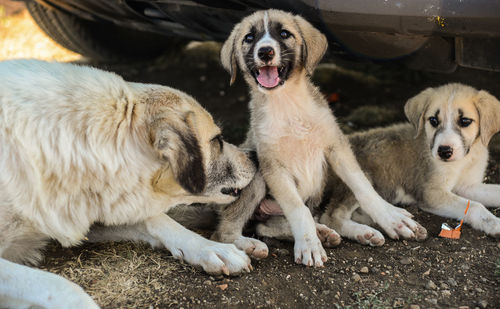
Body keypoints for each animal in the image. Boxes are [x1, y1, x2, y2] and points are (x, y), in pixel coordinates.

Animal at [258, 83, 500, 243]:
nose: (444, 151)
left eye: (465, 121)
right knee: (331, 215)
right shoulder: (431, 193)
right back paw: (366, 233)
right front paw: (495, 223)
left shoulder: (467, 186)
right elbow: (475, 206)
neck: (464, 160)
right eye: (433, 120)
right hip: (361, 176)